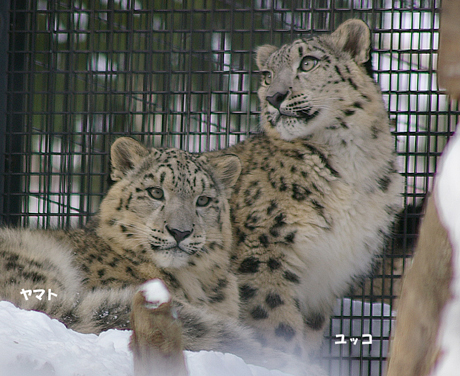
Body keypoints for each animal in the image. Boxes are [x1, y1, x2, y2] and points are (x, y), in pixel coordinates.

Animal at [207, 19, 404, 360]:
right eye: (267, 75)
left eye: (308, 62)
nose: (274, 97)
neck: (353, 164)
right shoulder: (265, 249)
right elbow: (276, 320)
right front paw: (286, 360)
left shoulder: (327, 273)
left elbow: (310, 327)